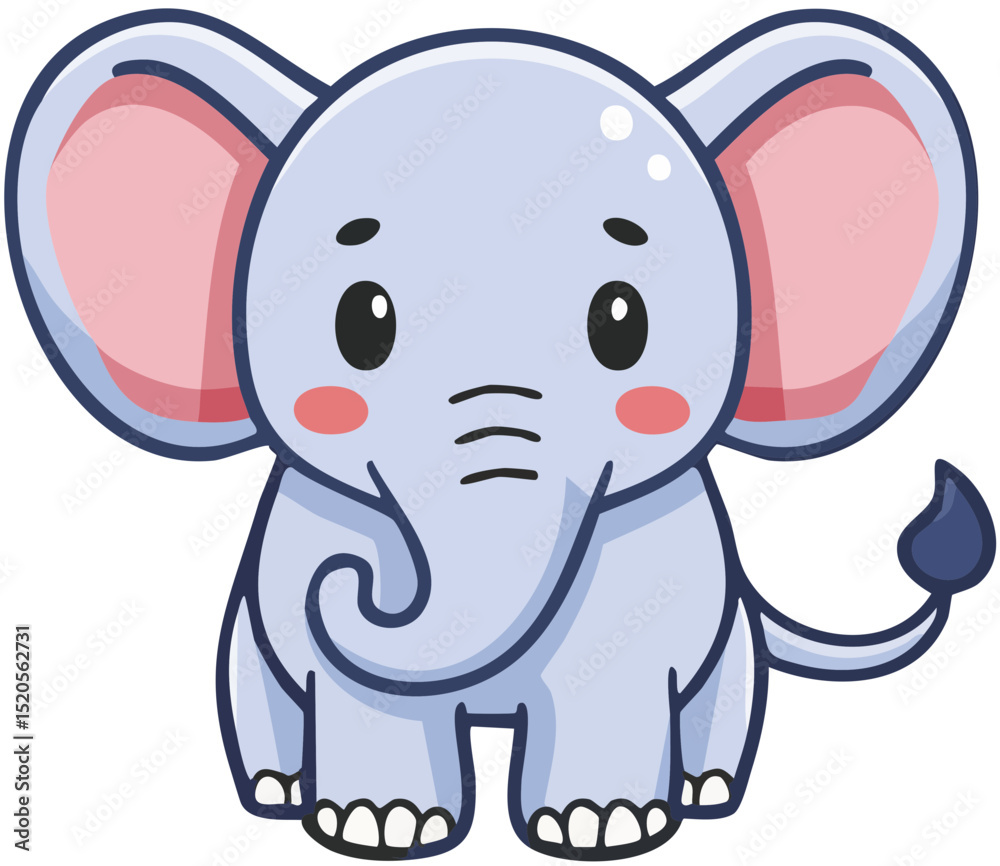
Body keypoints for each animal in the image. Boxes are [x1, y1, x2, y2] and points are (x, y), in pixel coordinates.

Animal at [7, 7, 995, 860]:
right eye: (361, 323)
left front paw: (602, 826)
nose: (357, 583)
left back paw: (708, 791)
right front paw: (379, 826)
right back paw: (280, 792)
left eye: (622, 321)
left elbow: (611, 678)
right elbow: (360, 692)